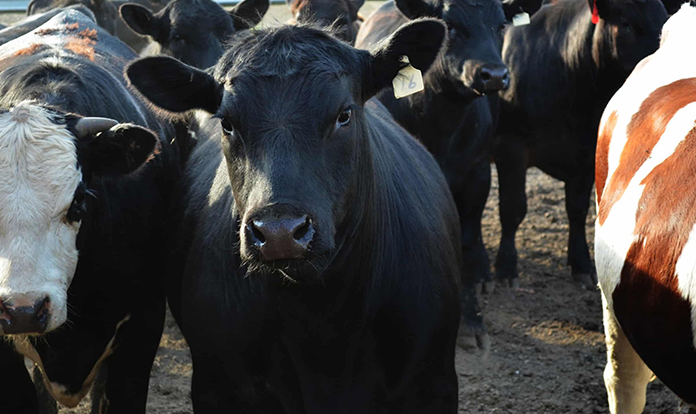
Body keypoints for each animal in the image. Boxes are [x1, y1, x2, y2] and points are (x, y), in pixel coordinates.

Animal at [355, 0, 542, 293]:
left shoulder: (478, 169)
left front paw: (476, 274)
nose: (494, 75)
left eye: (501, 25)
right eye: (451, 26)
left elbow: (471, 225)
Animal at [494, 0, 668, 289]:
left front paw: (582, 264)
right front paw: (506, 268)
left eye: (665, 17)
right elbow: (512, 207)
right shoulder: (510, 146)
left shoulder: (584, 154)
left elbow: (576, 209)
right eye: (626, 22)